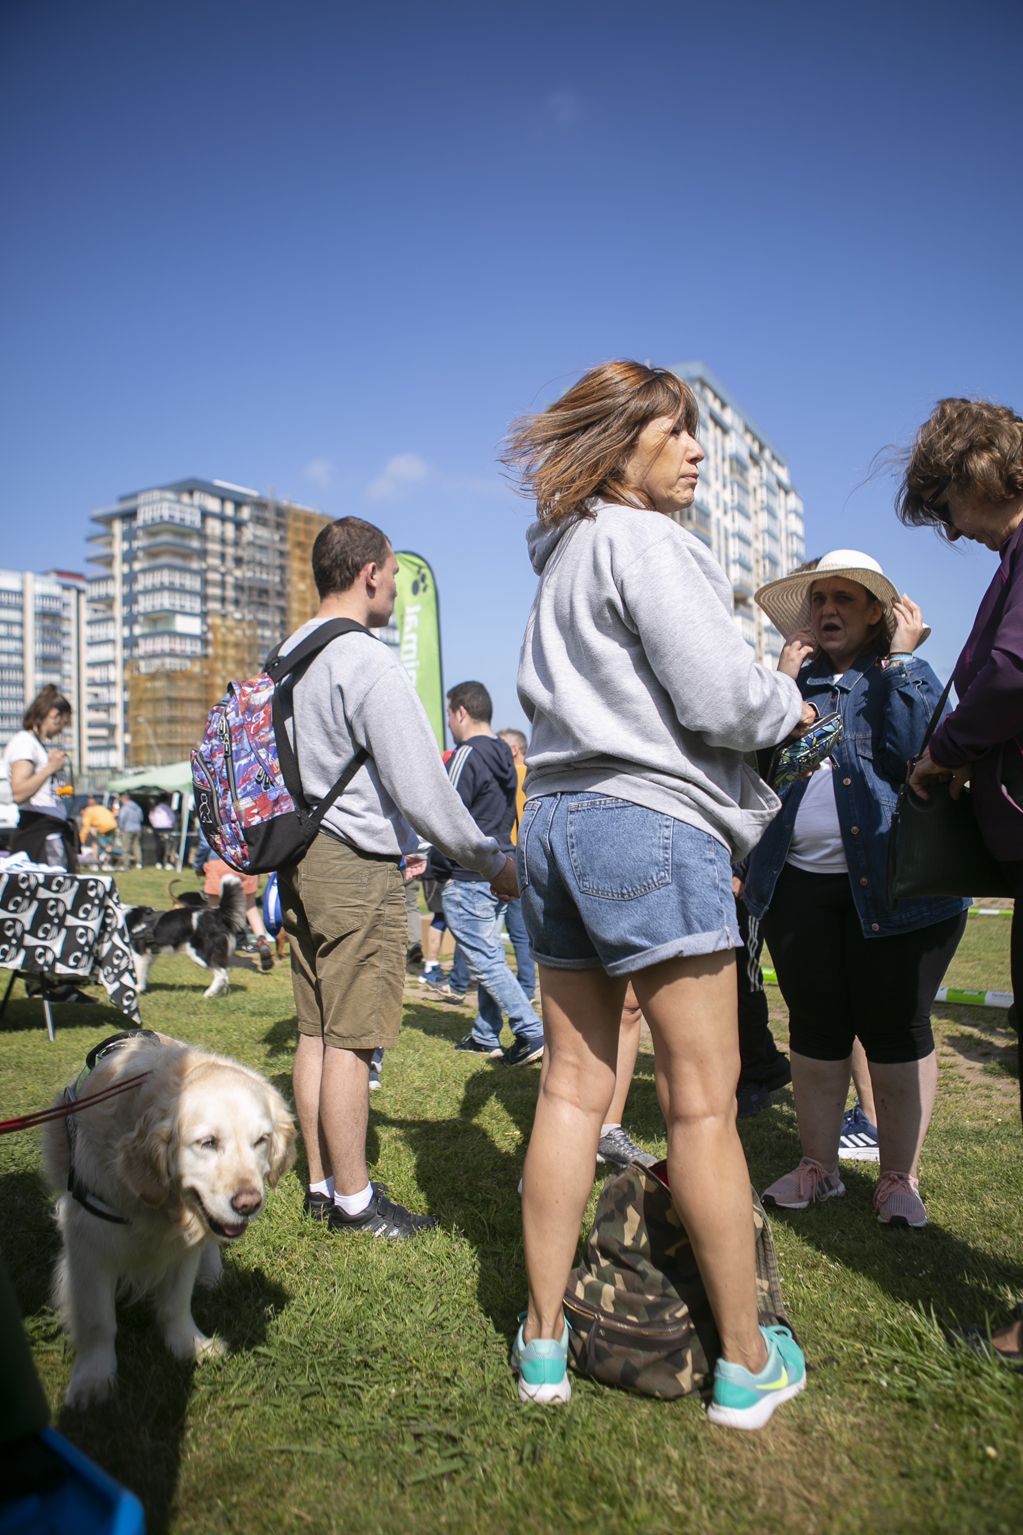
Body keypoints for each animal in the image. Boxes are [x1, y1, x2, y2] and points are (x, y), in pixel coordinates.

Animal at [46, 1037, 296, 1406]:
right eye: (207, 1143)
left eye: (261, 1141)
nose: (248, 1204)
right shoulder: (88, 1242)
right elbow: (97, 1321)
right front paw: (92, 1380)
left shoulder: (183, 1247)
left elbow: (176, 1305)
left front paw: (189, 1345)